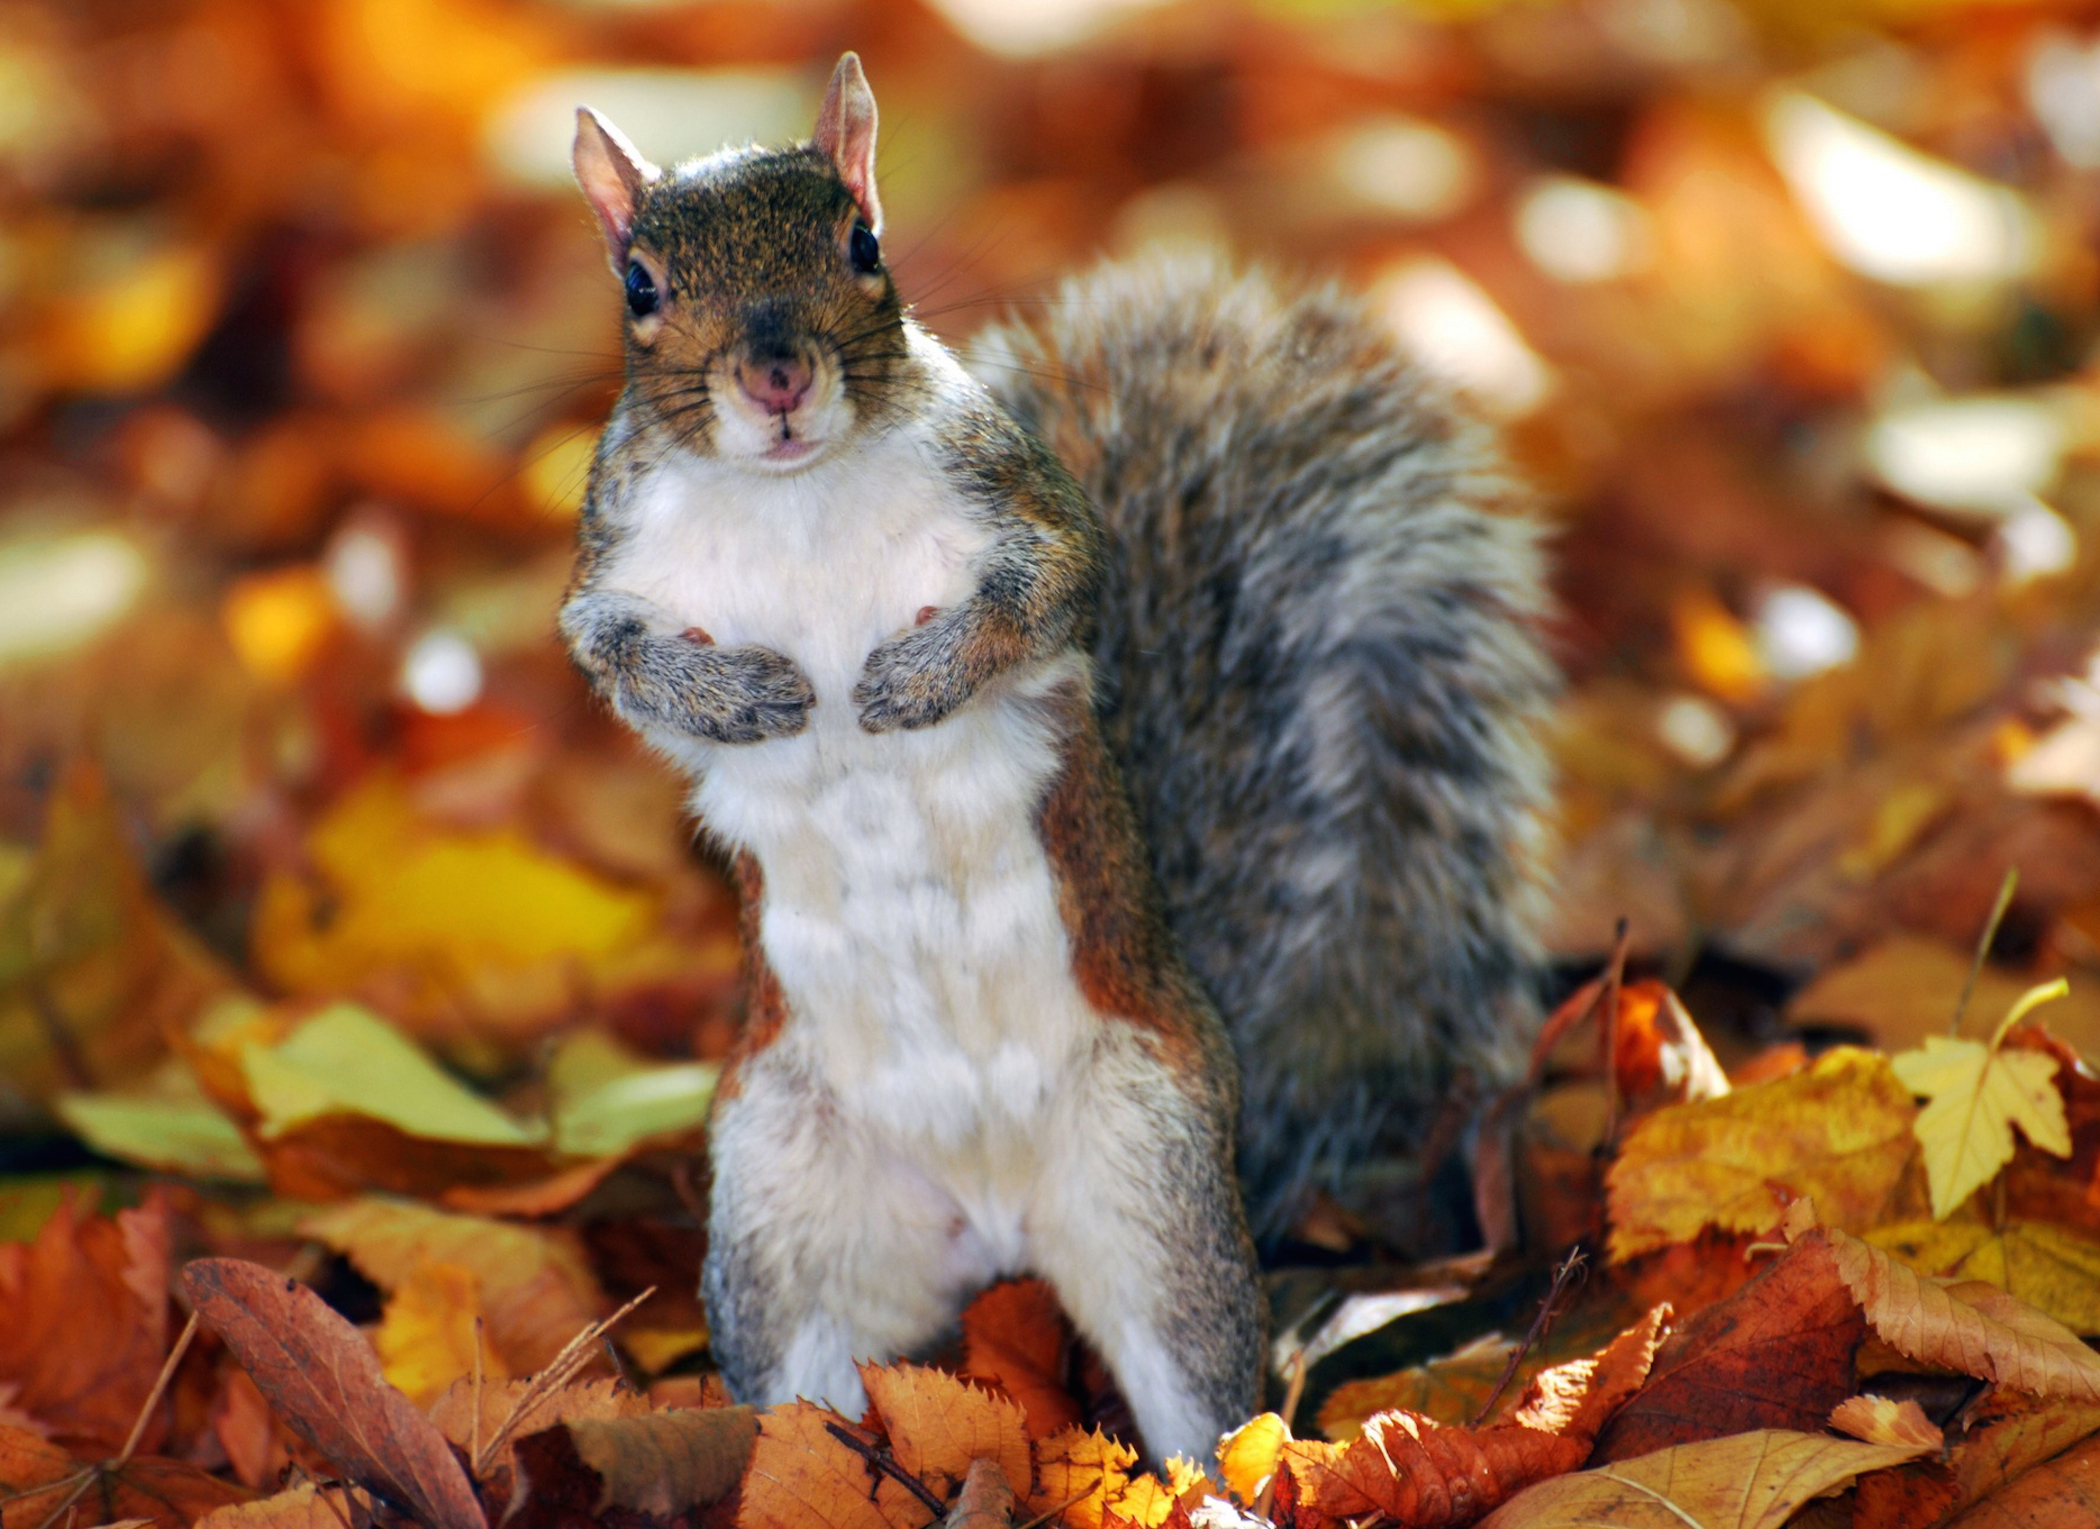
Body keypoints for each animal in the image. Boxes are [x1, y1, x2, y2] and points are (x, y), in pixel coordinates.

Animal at [558, 54, 1555, 1462]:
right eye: (640, 285)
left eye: (862, 243)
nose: (776, 376)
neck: (797, 497)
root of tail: (993, 1223)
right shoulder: (614, 576)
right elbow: (618, 662)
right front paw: (747, 695)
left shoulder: (1026, 509)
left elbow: (1048, 598)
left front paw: (912, 681)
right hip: (777, 1206)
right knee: (804, 1389)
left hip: (1154, 1176)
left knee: (1201, 1381)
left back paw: (1221, 1479)